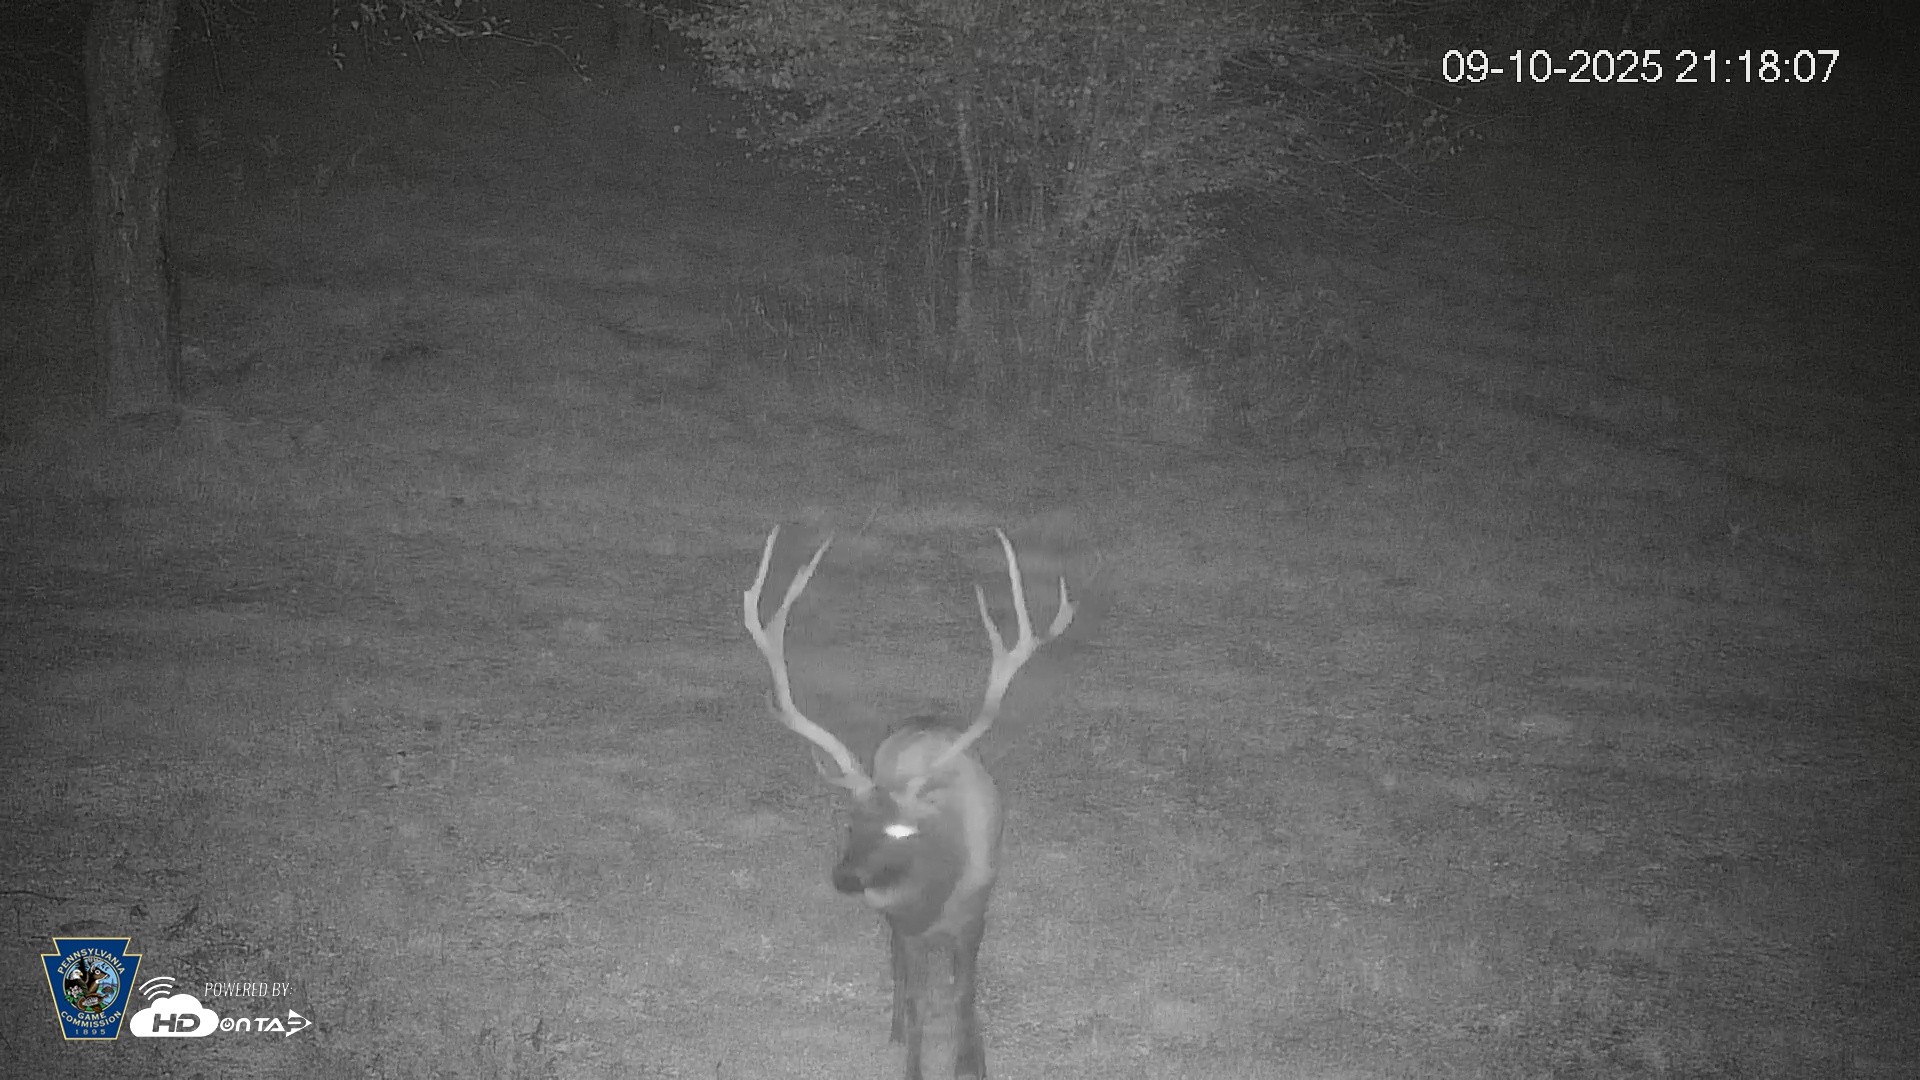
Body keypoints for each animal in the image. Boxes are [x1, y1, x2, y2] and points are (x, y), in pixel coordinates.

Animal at [743, 526, 1075, 1080]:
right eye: (849, 823)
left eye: (899, 830)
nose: (845, 877)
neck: (934, 896)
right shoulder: (905, 925)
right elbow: (921, 1001)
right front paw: (915, 1060)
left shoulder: (974, 913)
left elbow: (964, 995)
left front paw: (971, 1062)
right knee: (900, 969)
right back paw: (896, 1025)